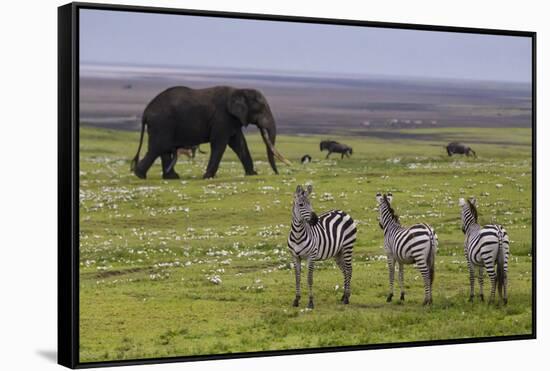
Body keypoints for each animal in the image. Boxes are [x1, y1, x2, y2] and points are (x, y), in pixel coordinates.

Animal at [132, 87, 294, 180]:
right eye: (260, 109)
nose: (277, 173)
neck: (239, 90)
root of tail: (145, 112)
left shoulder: (232, 119)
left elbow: (239, 143)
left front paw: (252, 174)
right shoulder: (222, 117)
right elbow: (220, 143)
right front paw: (207, 177)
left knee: (163, 149)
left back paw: (171, 177)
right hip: (162, 123)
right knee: (158, 147)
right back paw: (140, 175)